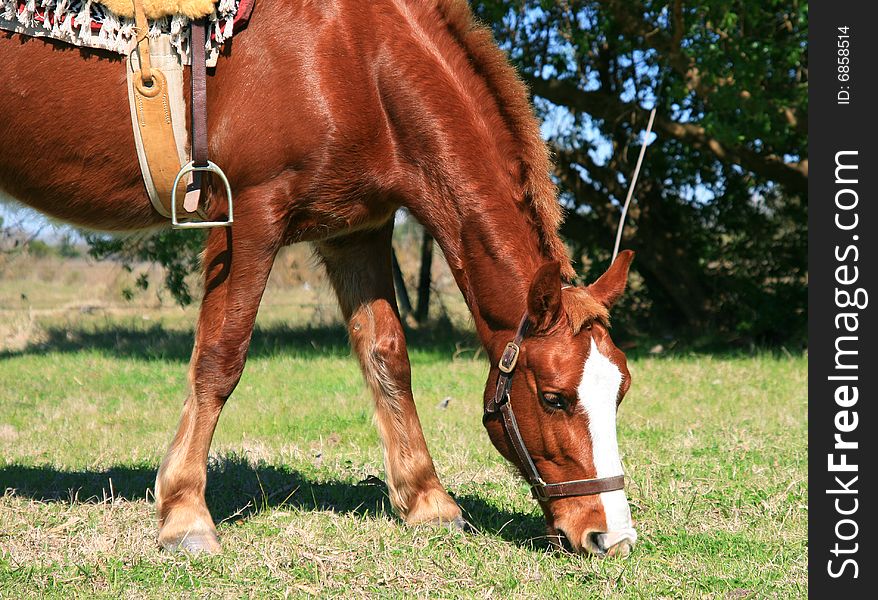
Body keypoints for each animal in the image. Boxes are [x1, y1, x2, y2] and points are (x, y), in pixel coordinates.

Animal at [3, 0, 644, 556]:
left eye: (621, 390)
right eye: (555, 399)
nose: (609, 536)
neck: (354, 54)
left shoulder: (357, 231)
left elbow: (389, 358)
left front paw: (428, 502)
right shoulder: (249, 217)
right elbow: (220, 359)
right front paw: (185, 513)